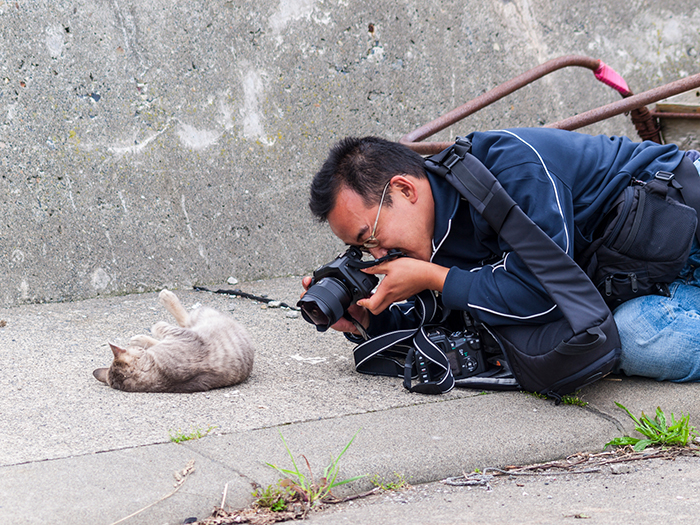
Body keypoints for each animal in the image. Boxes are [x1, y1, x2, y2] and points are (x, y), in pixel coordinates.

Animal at [93, 288, 254, 390]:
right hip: (200, 316)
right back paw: (166, 297)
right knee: (185, 320)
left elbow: (160, 329)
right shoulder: (184, 335)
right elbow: (162, 329)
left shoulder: (183, 335)